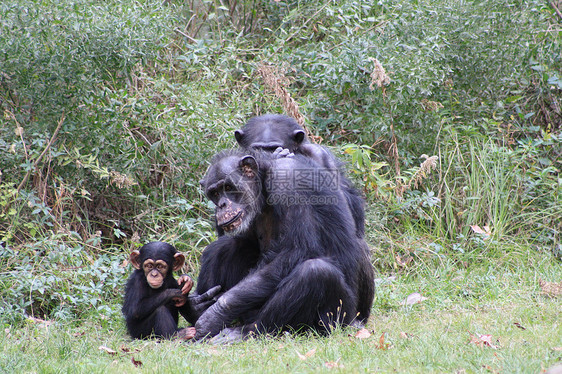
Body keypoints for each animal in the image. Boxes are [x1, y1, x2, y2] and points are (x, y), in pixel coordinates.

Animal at [195, 150, 374, 342]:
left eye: (228, 188)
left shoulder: (288, 182)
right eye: (214, 193)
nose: (222, 205)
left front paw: (214, 315)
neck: (264, 183)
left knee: (316, 272)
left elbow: (296, 250)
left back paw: (245, 331)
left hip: (339, 320)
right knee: (224, 247)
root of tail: (357, 321)